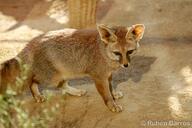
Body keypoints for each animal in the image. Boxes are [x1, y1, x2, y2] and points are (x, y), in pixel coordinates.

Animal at [0, 23, 144, 112]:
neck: (103, 51)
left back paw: (75, 91)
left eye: (130, 52)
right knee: (32, 82)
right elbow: (107, 95)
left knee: (61, 85)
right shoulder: (99, 77)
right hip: (49, 77)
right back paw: (37, 96)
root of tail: (32, 41)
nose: (125, 65)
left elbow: (111, 88)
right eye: (117, 53)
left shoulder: (108, 75)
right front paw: (112, 106)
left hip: (63, 74)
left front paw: (114, 94)